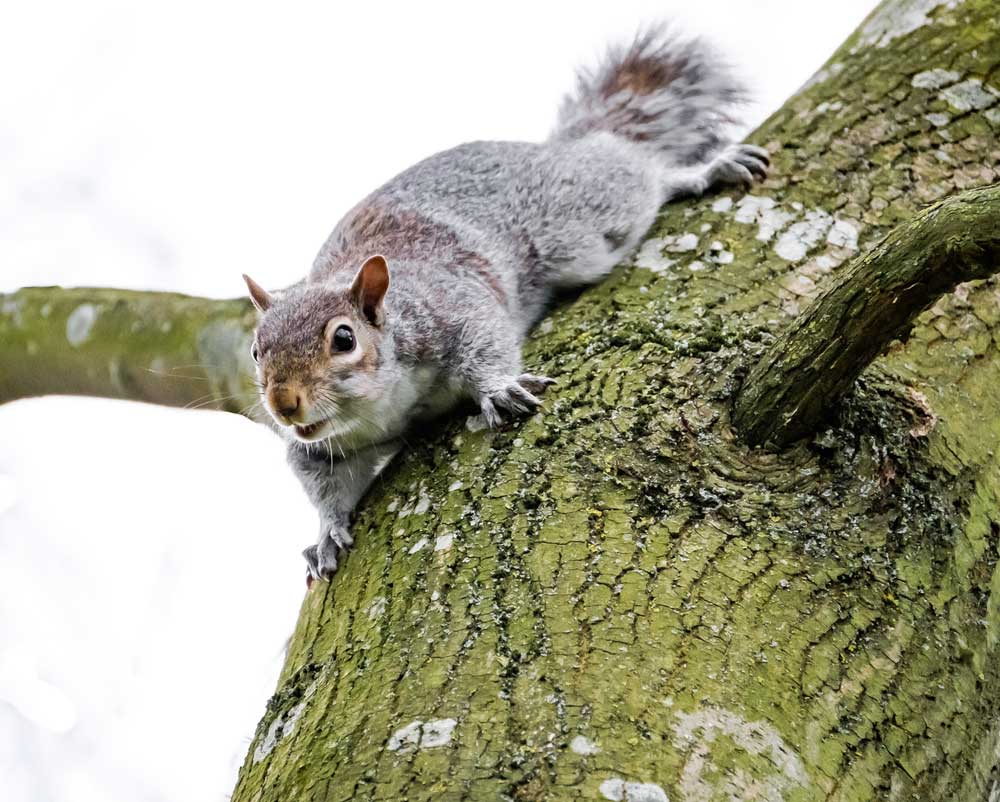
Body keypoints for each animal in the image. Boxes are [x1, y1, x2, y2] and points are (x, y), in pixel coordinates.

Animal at [240, 23, 764, 576]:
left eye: (344, 339)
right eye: (255, 351)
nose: (283, 404)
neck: (379, 404)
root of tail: (546, 149)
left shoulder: (449, 310)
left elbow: (484, 338)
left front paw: (498, 389)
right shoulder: (324, 448)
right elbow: (322, 483)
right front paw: (326, 533)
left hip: (575, 224)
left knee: (636, 174)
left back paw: (699, 171)